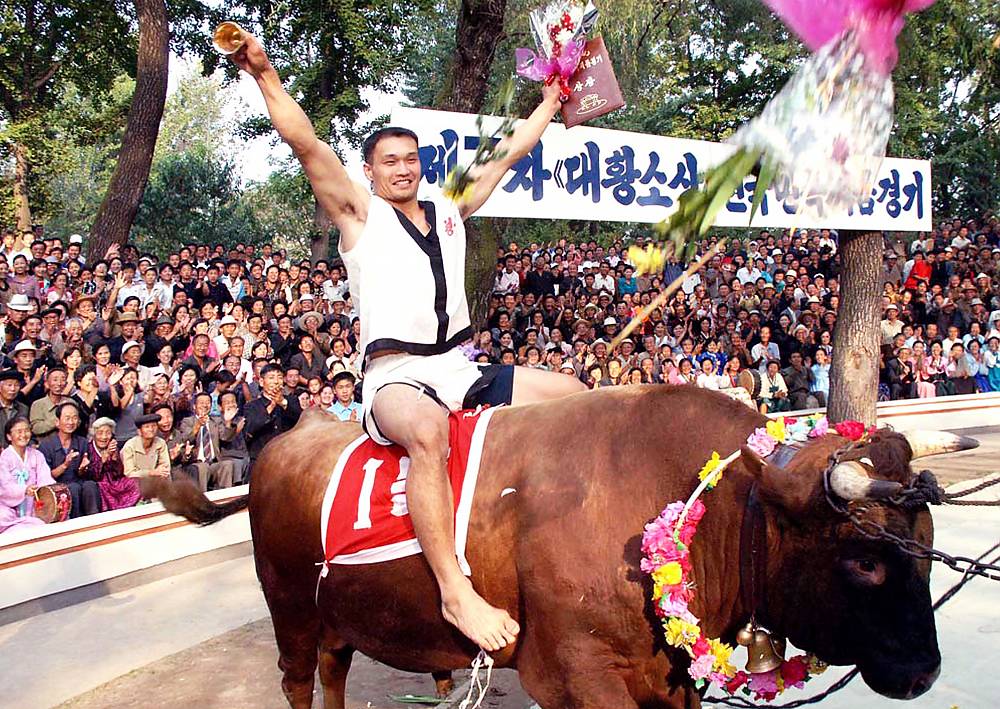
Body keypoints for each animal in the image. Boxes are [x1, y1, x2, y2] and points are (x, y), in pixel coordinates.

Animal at [154, 385, 977, 708]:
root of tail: (292, 431)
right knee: (299, 678)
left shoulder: (666, 676)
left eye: (928, 539)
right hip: (289, 606)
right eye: (864, 559)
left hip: (338, 614)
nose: (926, 671)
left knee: (333, 669)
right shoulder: (577, 673)